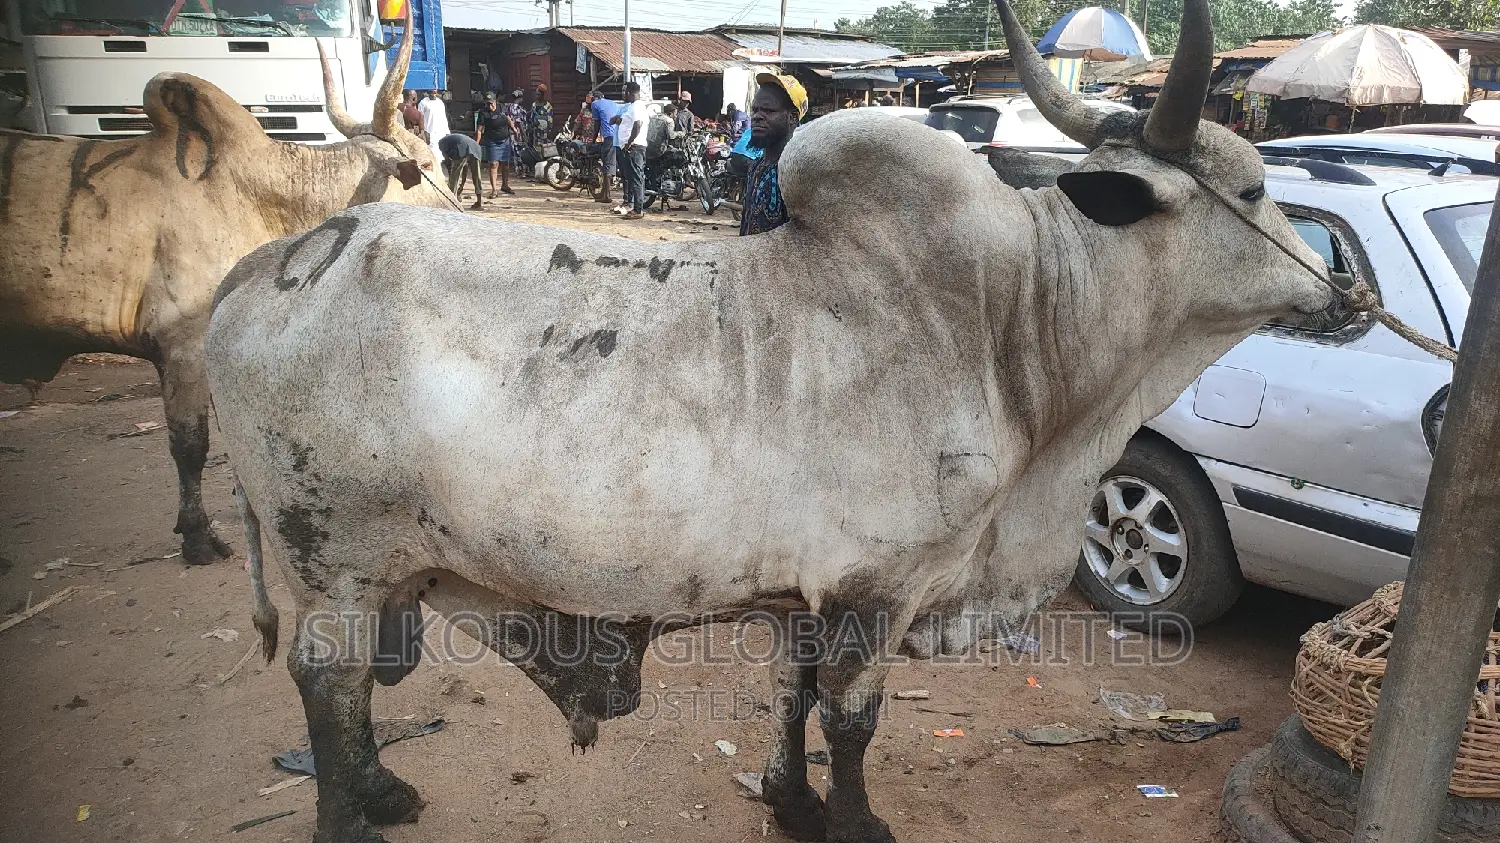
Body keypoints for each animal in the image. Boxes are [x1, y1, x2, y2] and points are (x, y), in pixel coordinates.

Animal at [0, 8, 452, 565]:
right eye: (426, 165)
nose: (461, 211)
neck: (261, 194)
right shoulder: (182, 344)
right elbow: (190, 446)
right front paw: (197, 535)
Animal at [204, 0, 1335, 840]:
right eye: (1255, 187)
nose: (1344, 288)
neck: (1013, 325)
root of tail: (260, 270)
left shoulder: (812, 588)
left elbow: (794, 696)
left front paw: (791, 802)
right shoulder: (883, 586)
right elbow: (853, 718)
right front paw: (856, 821)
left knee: (349, 685)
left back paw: (380, 790)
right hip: (334, 555)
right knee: (328, 682)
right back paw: (353, 812)